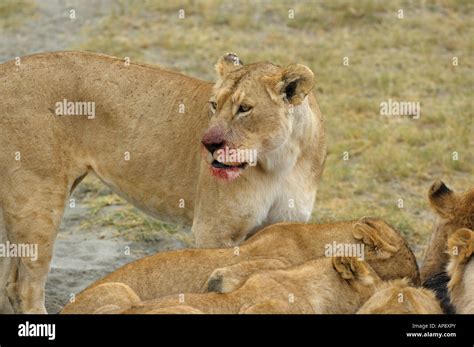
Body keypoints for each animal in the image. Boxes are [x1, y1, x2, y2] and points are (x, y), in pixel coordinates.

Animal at [0, 51, 326, 316]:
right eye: (213, 105)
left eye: (244, 108)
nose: (208, 144)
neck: (277, 162)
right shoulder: (213, 230)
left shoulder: (284, 224)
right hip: (38, 197)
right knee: (22, 286)